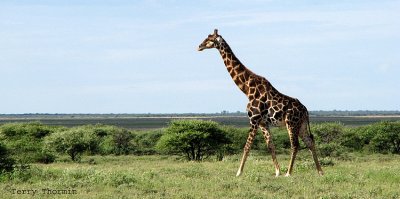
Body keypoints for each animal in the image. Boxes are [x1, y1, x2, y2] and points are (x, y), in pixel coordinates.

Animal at [198, 29, 324, 176]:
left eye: (209, 39)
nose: (199, 46)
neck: (246, 88)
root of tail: (305, 110)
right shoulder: (263, 123)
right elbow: (270, 146)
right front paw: (277, 172)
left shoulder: (254, 119)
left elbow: (247, 146)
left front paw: (239, 172)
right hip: (302, 124)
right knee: (310, 142)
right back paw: (320, 171)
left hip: (291, 123)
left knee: (295, 145)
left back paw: (289, 173)